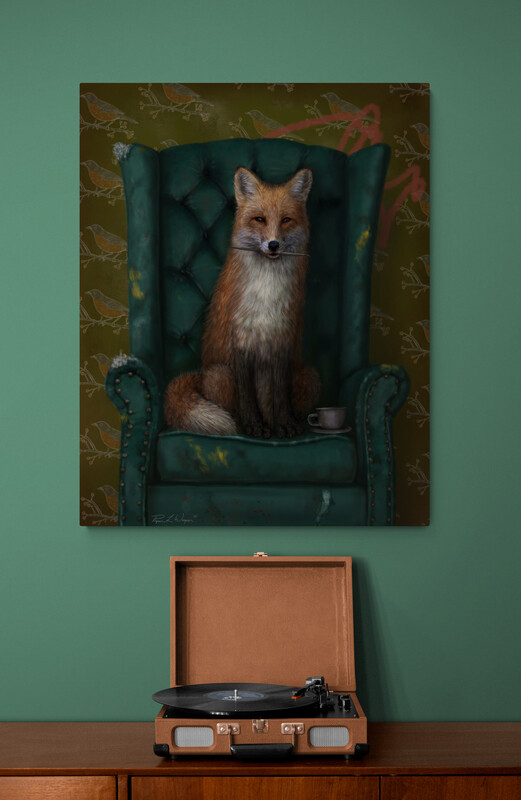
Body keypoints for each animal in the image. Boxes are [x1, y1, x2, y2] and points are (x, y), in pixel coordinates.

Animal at [164, 166, 321, 439]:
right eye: (259, 219)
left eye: (286, 220)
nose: (273, 244)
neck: (266, 292)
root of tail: (200, 376)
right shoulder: (241, 342)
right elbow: (247, 396)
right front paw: (253, 426)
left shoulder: (282, 341)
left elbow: (280, 395)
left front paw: (285, 424)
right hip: (221, 374)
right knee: (232, 408)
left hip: (310, 377)